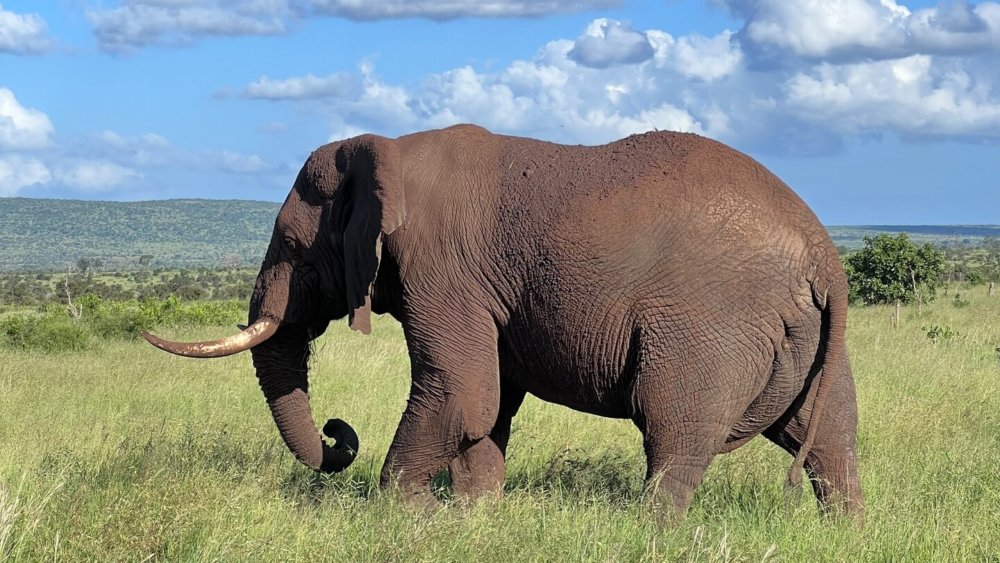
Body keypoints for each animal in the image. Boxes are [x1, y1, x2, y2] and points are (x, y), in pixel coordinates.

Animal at [145, 124, 863, 520]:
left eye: (295, 249)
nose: (336, 431)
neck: (390, 151)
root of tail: (823, 252)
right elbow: (488, 405)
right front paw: (475, 517)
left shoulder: (440, 266)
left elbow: (462, 393)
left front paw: (411, 518)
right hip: (802, 339)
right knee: (829, 433)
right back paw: (845, 534)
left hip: (710, 324)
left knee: (674, 432)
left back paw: (645, 534)